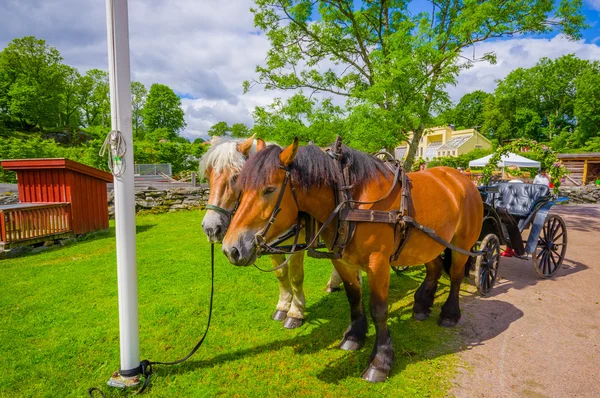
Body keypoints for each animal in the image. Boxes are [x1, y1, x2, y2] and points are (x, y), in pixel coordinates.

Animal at [220, 139, 482, 382]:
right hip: (428, 244)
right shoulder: (342, 261)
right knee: (434, 268)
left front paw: (380, 361)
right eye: (241, 188)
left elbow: (379, 310)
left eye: (269, 189)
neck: (349, 200)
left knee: (456, 276)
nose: (231, 249)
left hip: (461, 245)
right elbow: (353, 297)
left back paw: (449, 314)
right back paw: (422, 305)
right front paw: (354, 336)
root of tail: (462, 178)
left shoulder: (378, 264)